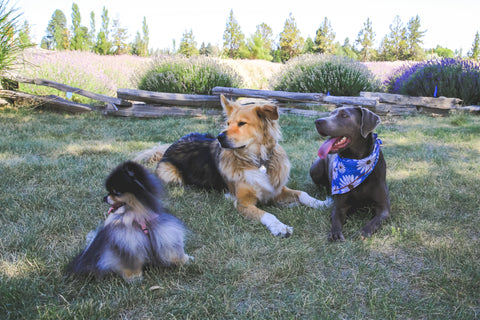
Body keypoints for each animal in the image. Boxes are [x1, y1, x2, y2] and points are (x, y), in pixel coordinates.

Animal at [312, 106, 390, 241]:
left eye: (344, 115)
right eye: (330, 114)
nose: (318, 121)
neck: (356, 162)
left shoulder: (384, 208)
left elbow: (374, 222)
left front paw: (362, 232)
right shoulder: (340, 206)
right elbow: (336, 217)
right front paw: (335, 233)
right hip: (316, 168)